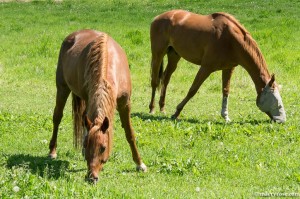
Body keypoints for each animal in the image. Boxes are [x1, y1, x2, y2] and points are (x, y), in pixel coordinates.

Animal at [49, 28, 146, 183]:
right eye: (86, 145)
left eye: (103, 148)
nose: (91, 177)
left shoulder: (125, 104)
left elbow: (130, 133)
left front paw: (139, 164)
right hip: (62, 88)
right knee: (57, 117)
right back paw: (52, 151)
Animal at [150, 10, 286, 123]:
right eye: (277, 103)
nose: (282, 120)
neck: (230, 39)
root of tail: (158, 17)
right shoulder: (206, 67)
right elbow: (192, 90)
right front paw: (176, 112)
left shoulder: (228, 68)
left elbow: (225, 91)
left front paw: (225, 116)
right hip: (157, 54)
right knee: (155, 81)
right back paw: (151, 109)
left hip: (174, 55)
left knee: (165, 79)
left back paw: (162, 108)